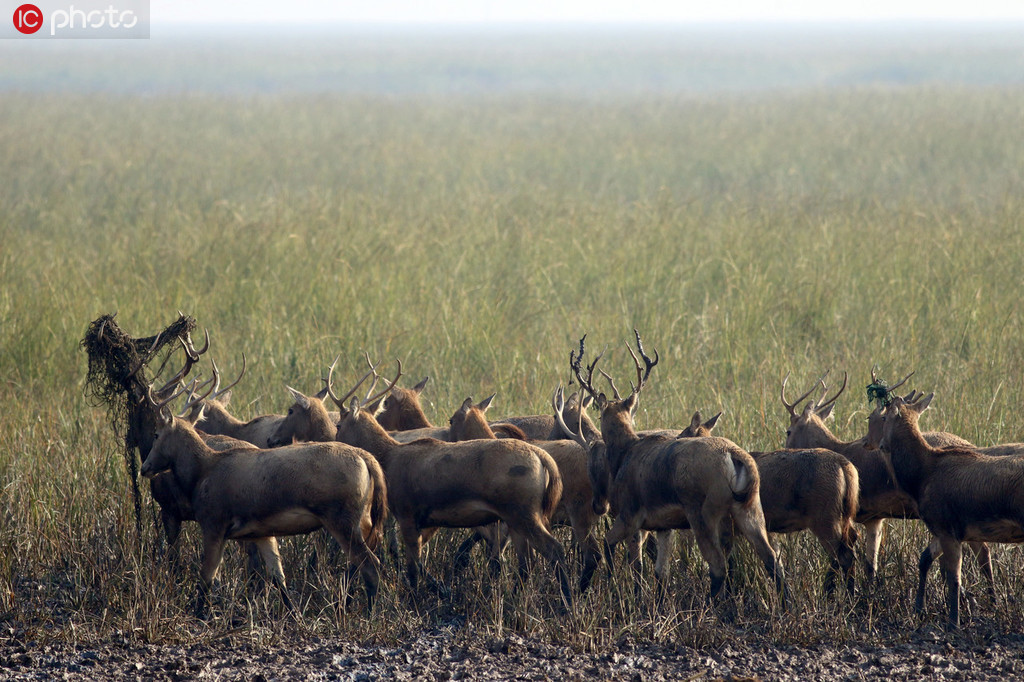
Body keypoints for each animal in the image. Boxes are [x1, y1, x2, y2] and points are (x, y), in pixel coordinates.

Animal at [573, 329, 786, 606]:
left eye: (599, 415)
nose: (599, 506)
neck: (623, 455)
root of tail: (736, 458)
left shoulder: (630, 513)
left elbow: (615, 550)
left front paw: (618, 591)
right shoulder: (663, 525)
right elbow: (660, 571)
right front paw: (657, 603)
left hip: (702, 511)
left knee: (718, 565)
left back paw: (710, 608)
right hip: (750, 508)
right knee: (772, 560)